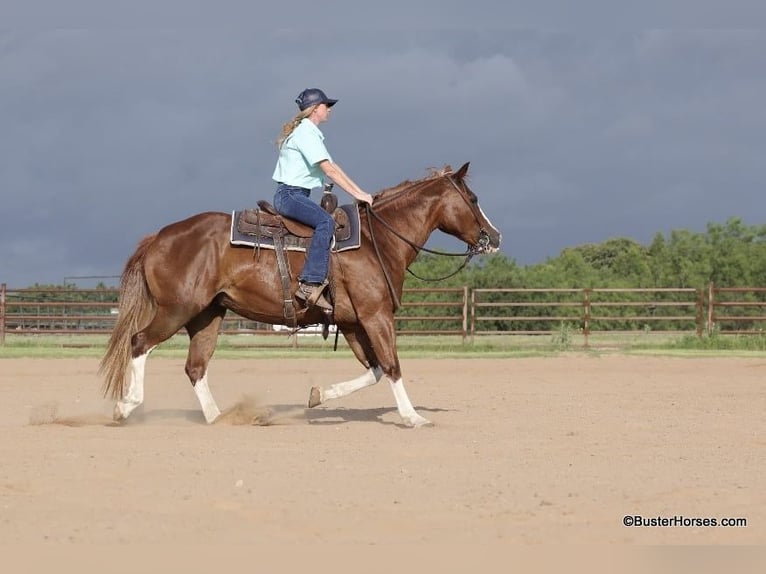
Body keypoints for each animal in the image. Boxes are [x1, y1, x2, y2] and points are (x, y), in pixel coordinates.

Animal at [100, 162, 504, 428]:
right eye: (472, 198)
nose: (494, 237)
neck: (378, 240)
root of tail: (158, 237)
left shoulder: (353, 323)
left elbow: (373, 369)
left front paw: (319, 395)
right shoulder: (376, 316)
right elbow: (391, 365)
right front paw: (412, 416)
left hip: (207, 315)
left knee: (195, 366)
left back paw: (220, 418)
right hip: (177, 309)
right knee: (139, 343)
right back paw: (126, 406)